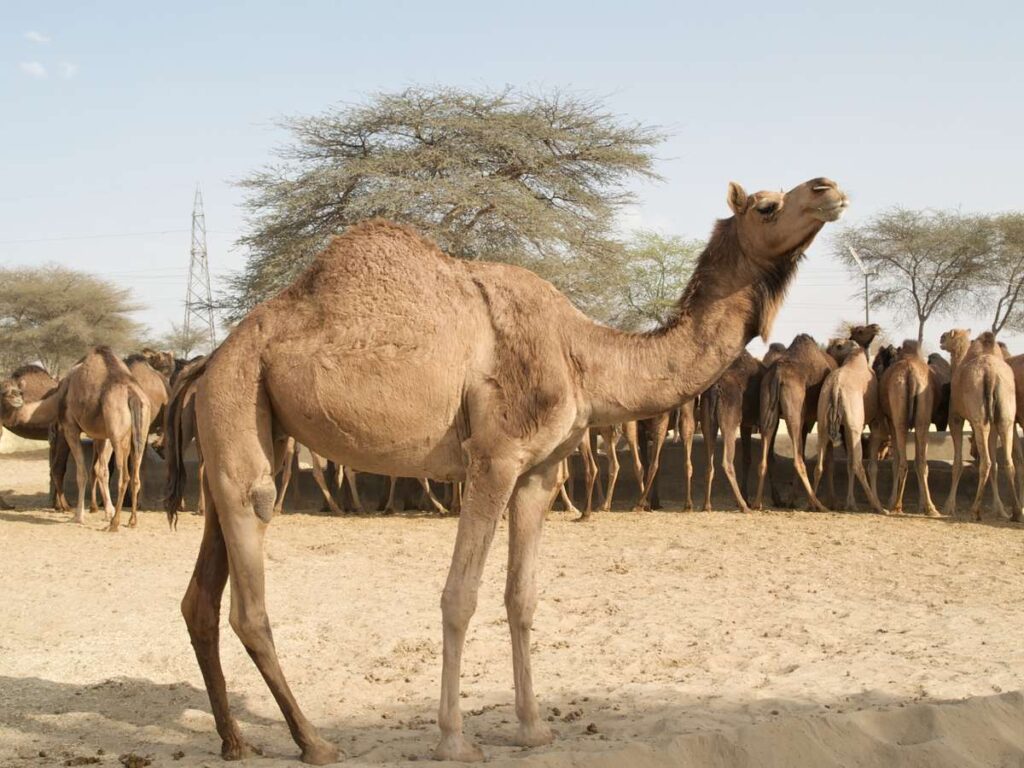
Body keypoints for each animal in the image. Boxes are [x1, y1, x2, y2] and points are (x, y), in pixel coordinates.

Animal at [699, 349, 764, 512]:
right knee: (727, 461)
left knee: (709, 462)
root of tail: (715, 387)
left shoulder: (746, 425)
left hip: (707, 419)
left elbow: (747, 458)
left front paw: (748, 498)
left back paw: (707, 505)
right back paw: (743, 506)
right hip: (730, 418)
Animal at [753, 333, 836, 511]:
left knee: (766, 455)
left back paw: (758, 503)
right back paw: (817, 504)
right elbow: (828, 459)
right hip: (794, 410)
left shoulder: (805, 421)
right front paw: (832, 501)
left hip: (768, 405)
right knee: (798, 460)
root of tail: (778, 374)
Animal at [812, 339, 887, 513]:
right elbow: (864, 464)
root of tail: (836, 387)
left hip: (823, 422)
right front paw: (855, 503)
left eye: (837, 346)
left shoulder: (845, 427)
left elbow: (848, 464)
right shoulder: (870, 424)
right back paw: (878, 506)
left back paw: (814, 504)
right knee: (859, 464)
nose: (827, 351)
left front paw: (850, 503)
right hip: (854, 426)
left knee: (819, 465)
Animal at [878, 340, 941, 516]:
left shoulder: (891, 421)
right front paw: (922, 505)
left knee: (902, 462)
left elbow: (895, 461)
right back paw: (931, 508)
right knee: (922, 463)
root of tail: (910, 374)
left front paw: (891, 500)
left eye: (878, 361)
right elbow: (919, 460)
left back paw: (896, 505)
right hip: (923, 418)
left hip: (899, 420)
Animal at [940, 330, 1021, 521]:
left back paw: (975, 511)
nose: (941, 338)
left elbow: (957, 463)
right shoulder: (994, 424)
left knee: (986, 462)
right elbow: (997, 466)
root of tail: (990, 374)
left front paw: (948, 506)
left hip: (979, 419)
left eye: (949, 335)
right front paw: (1000, 509)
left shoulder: (955, 417)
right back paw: (1016, 512)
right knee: (1008, 462)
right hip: (1005, 417)